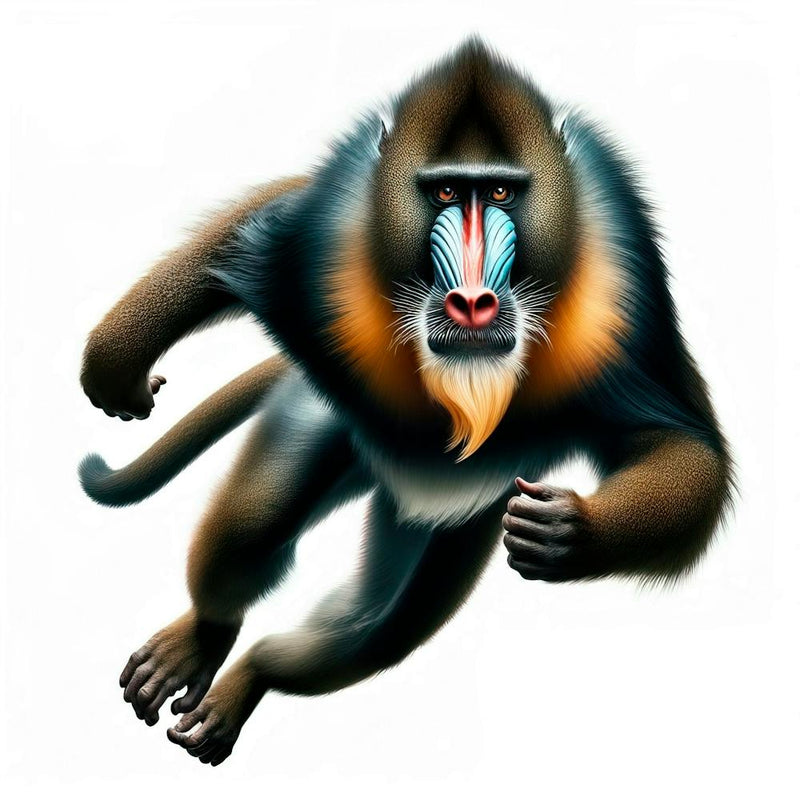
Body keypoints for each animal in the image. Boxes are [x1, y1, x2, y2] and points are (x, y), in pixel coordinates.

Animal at [79, 39, 733, 766]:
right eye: (446, 192)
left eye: (500, 192)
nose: (472, 301)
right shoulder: (327, 240)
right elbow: (254, 233)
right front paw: (116, 360)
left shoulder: (621, 296)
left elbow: (679, 441)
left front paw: (572, 532)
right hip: (323, 424)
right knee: (251, 530)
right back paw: (207, 635)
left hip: (454, 524)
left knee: (379, 629)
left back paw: (257, 673)